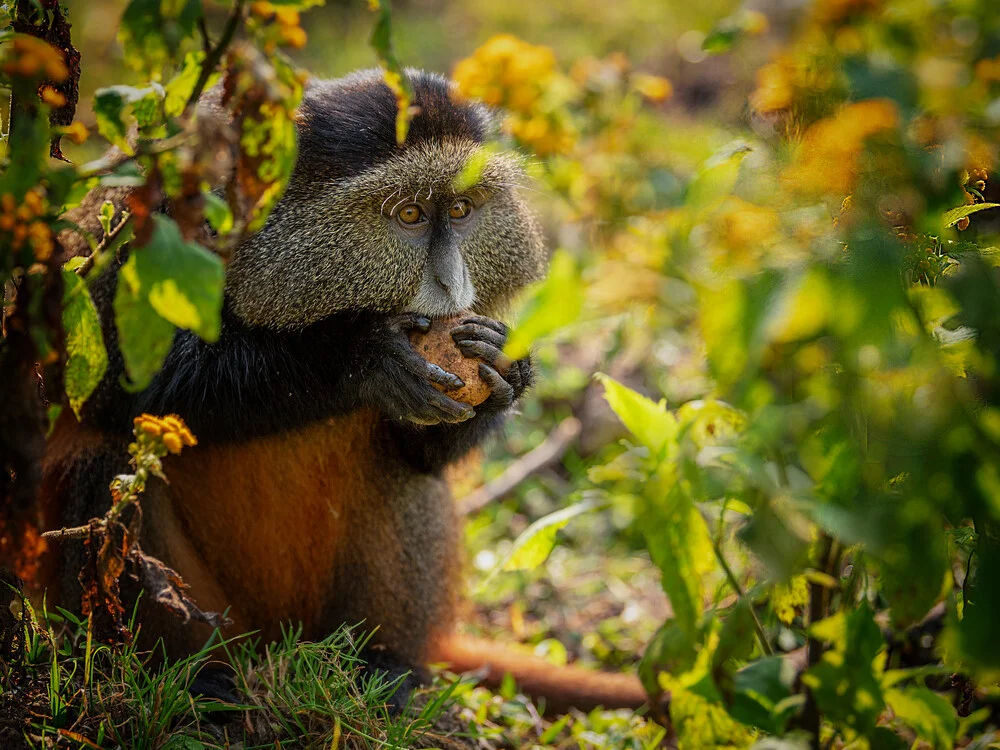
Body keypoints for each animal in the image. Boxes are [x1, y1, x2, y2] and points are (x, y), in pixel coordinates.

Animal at [38, 69, 650, 715]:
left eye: (460, 210)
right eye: (409, 215)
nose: (452, 281)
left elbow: (422, 457)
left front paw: (507, 371)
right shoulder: (130, 237)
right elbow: (117, 384)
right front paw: (361, 359)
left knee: (400, 479)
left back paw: (385, 667)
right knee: (107, 464)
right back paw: (193, 678)